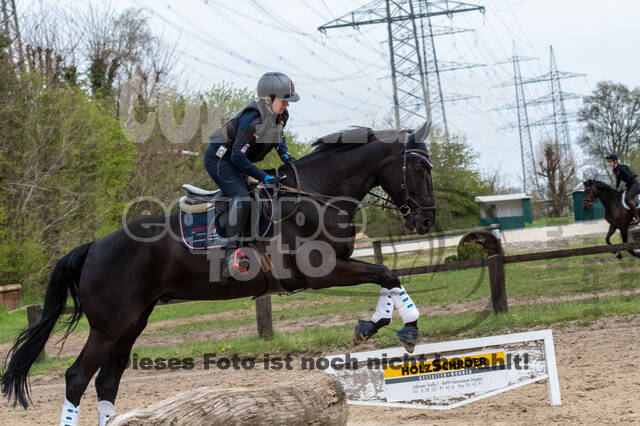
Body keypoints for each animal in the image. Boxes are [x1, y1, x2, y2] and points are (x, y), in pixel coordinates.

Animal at [0, 122, 438, 422]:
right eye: (419, 170)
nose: (426, 221)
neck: (316, 194)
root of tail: (93, 247)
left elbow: (386, 276)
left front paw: (380, 324)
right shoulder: (320, 273)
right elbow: (385, 272)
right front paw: (403, 327)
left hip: (132, 322)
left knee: (108, 379)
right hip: (110, 325)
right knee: (77, 377)